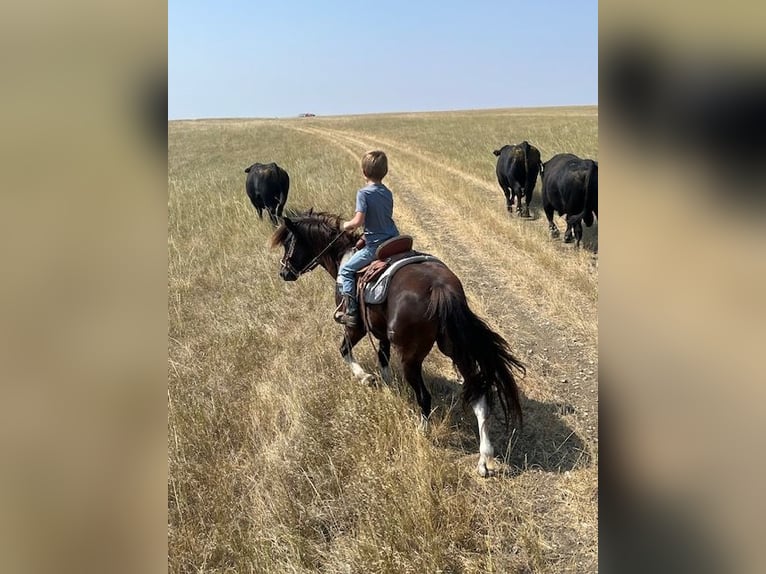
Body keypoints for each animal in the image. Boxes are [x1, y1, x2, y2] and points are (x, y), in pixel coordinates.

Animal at [272, 210, 528, 476]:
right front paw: (387, 386)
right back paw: (484, 459)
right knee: (479, 397)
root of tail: (440, 288)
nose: (283, 273)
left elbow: (344, 350)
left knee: (425, 396)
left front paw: (366, 378)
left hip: (411, 357)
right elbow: (383, 358)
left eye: (289, 243)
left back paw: (423, 432)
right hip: (457, 350)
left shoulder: (356, 326)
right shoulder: (382, 333)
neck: (344, 255)